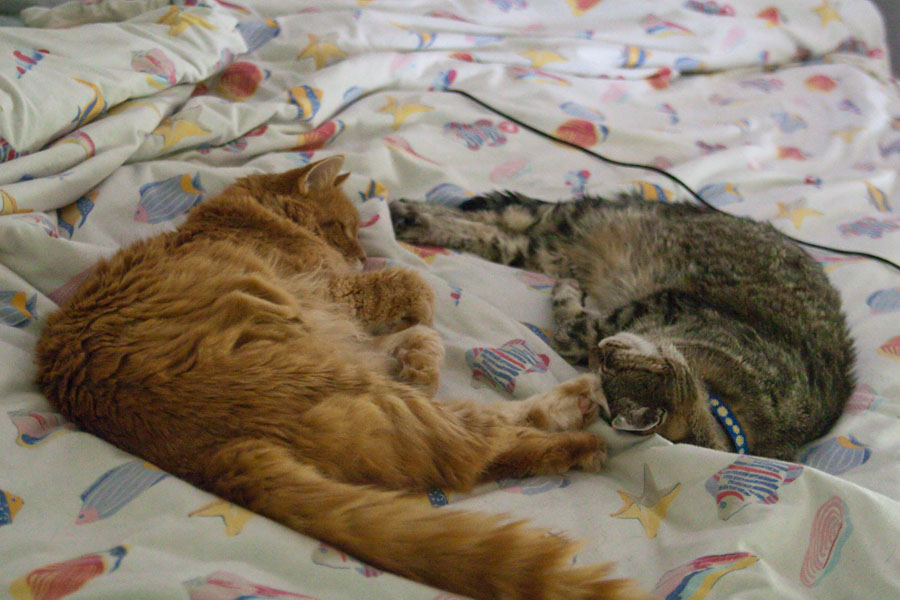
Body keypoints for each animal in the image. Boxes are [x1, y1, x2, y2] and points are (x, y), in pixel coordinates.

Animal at [35, 157, 644, 600]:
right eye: (343, 228)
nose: (358, 256)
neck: (244, 216)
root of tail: (211, 456)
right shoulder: (331, 292)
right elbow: (413, 289)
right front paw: (421, 327)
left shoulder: (339, 316)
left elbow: (414, 338)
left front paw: (419, 356)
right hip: (350, 385)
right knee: (477, 443)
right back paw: (582, 421)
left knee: (478, 450)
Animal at [390, 192, 856, 460]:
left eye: (609, 363)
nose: (604, 348)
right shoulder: (667, 301)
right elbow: (583, 323)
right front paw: (570, 302)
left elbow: (573, 328)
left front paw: (568, 304)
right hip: (568, 219)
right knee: (502, 214)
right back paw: (399, 209)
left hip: (542, 247)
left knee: (499, 234)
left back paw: (410, 219)